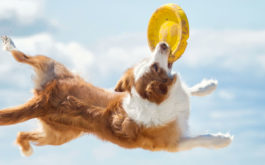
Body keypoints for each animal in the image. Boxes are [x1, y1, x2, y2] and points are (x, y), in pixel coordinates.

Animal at [0, 35, 231, 156]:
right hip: (59, 133)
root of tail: (45, 97)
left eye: (149, 62)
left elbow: (188, 90)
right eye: (154, 67)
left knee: (22, 58)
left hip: (54, 76)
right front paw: (222, 140)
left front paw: (207, 86)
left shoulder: (121, 94)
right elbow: (200, 139)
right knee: (21, 57)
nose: (163, 44)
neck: (156, 99)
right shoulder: (172, 144)